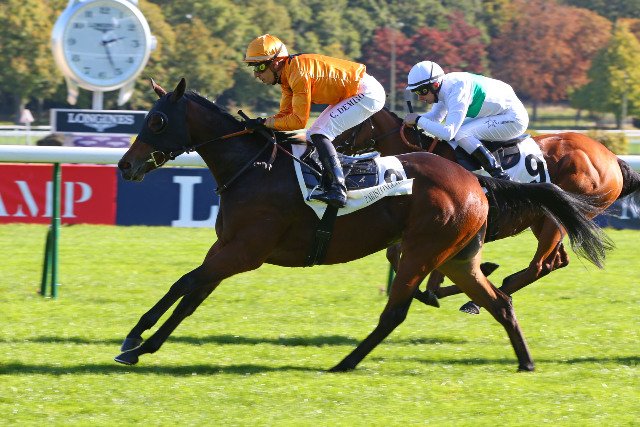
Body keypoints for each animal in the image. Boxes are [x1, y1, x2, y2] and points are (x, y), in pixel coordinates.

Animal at [333, 107, 638, 312]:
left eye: (348, 119)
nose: (329, 144)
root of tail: (612, 157)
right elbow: (402, 258)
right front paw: (434, 290)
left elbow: (410, 260)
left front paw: (435, 290)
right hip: (544, 219)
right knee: (555, 262)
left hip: (558, 219)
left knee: (540, 265)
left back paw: (480, 299)